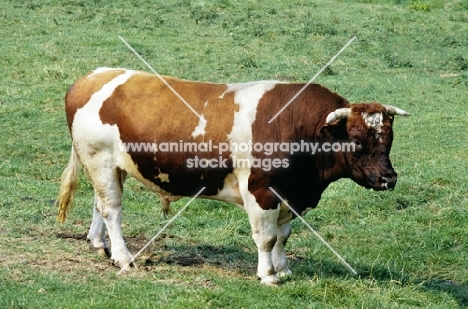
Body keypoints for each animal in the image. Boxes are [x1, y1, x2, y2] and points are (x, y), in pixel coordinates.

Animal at [55, 67, 410, 284]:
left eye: (389, 139)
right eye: (358, 141)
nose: (388, 178)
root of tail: (93, 77)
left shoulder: (290, 196)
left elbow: (283, 235)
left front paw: (284, 270)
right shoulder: (262, 191)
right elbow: (266, 237)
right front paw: (268, 275)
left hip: (112, 166)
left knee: (100, 203)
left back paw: (99, 244)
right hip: (99, 158)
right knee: (112, 210)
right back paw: (123, 257)